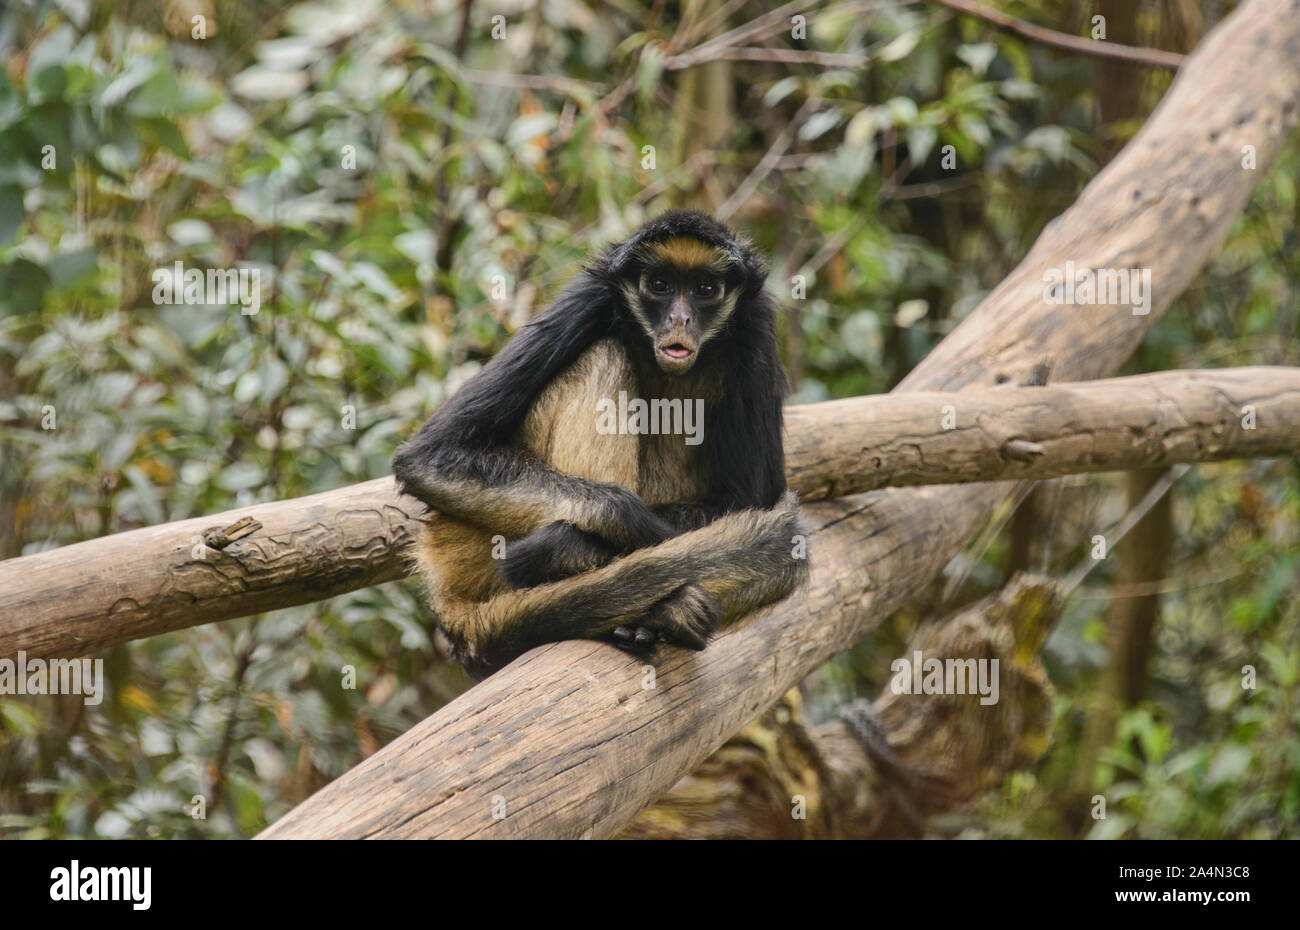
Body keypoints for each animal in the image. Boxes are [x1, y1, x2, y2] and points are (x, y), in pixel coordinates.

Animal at [390, 210, 806, 676]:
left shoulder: (756, 324)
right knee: (604, 353)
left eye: (705, 289)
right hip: (469, 550)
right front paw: (621, 532)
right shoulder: (588, 298)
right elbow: (430, 457)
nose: (679, 320)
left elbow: (750, 499)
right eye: (659, 284)